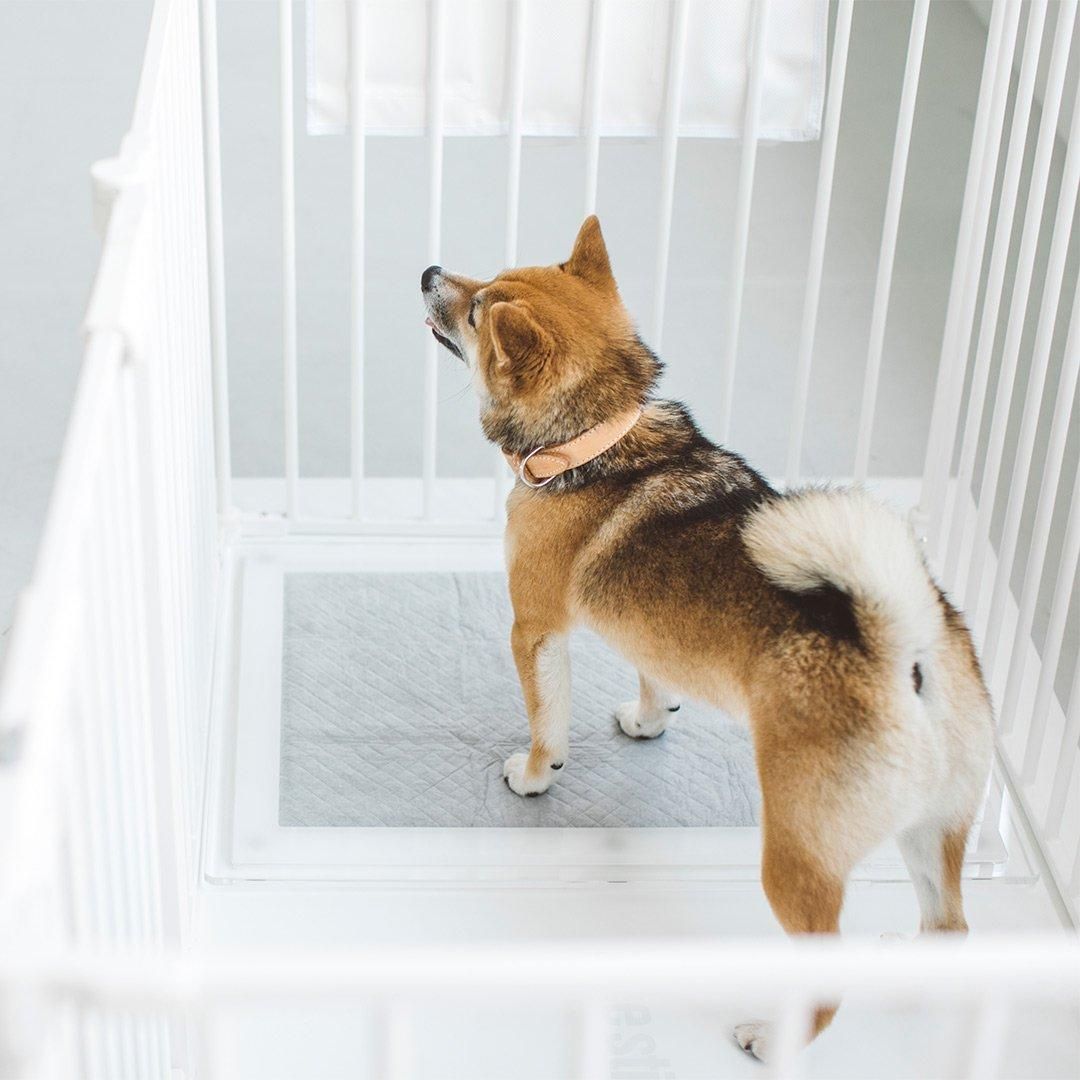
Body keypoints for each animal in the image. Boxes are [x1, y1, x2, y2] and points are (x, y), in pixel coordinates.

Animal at [421, 217, 993, 1054]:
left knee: (827, 982)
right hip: (934, 830)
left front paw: (534, 773)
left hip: (797, 858)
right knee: (950, 926)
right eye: (481, 280)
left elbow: (545, 722)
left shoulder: (535, 629)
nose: (430, 272)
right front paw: (649, 721)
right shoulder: (647, 634)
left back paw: (773, 1039)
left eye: (476, 311)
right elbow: (653, 677)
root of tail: (906, 657)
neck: (598, 443)